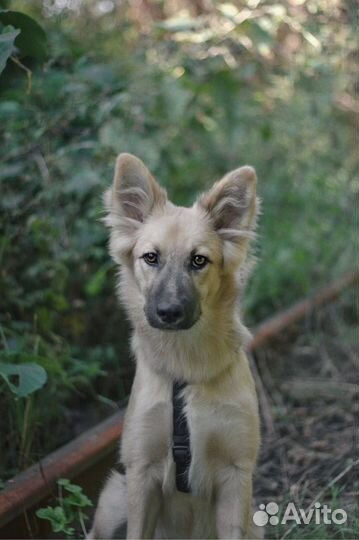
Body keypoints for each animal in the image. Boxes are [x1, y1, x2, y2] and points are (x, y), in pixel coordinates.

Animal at [88, 153, 260, 540]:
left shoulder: (235, 474)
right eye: (150, 257)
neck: (186, 367)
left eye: (199, 260)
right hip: (114, 498)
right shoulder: (141, 471)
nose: (168, 313)